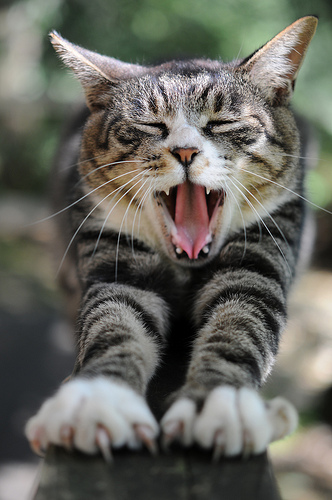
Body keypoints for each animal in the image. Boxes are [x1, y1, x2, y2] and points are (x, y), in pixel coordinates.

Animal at [25, 16, 316, 460]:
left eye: (222, 122)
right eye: (150, 125)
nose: (184, 151)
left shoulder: (259, 256)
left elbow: (240, 323)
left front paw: (222, 402)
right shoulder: (117, 262)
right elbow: (114, 324)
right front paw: (96, 401)